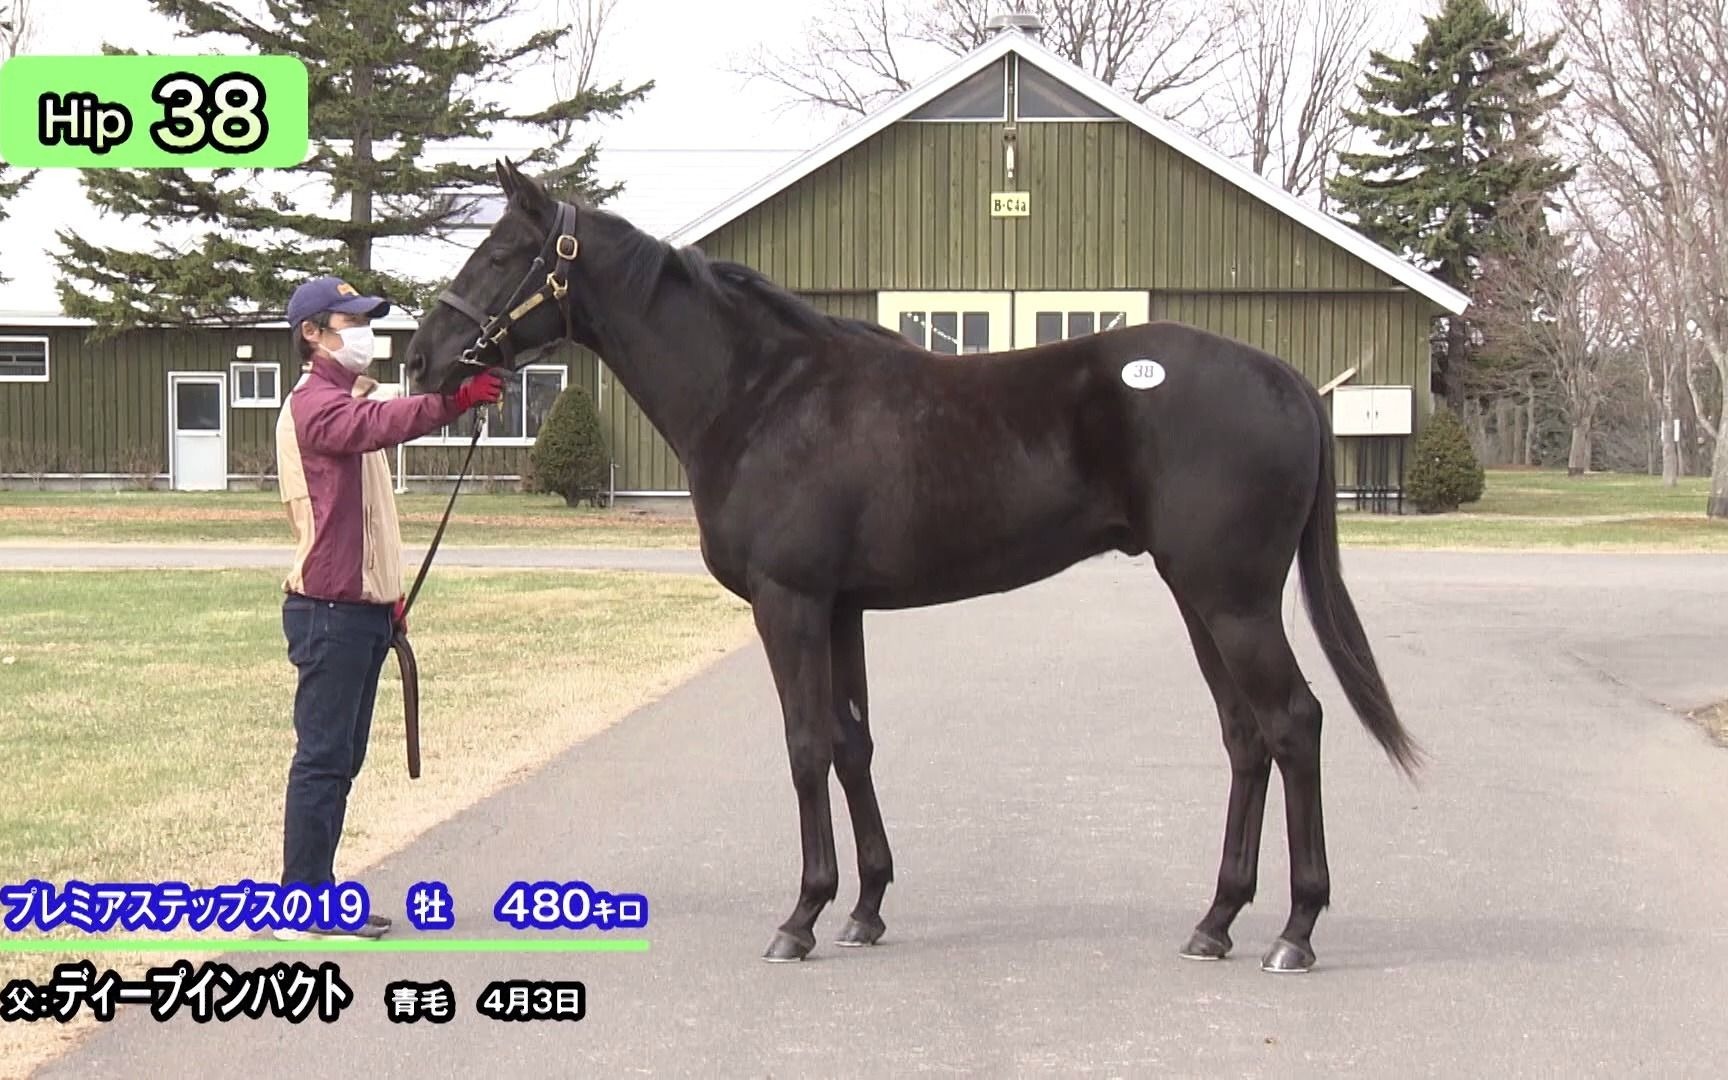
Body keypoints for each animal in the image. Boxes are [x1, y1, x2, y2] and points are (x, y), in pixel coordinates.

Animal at [404, 162, 1416, 974]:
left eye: (502, 253)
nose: (421, 358)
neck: (759, 392)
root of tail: (1288, 382)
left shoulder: (789, 604)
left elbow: (806, 745)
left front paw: (801, 917)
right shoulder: (841, 608)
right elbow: (853, 743)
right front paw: (865, 909)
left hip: (1232, 599)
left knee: (1294, 725)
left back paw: (1296, 931)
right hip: (1200, 599)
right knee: (1247, 739)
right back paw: (1216, 921)